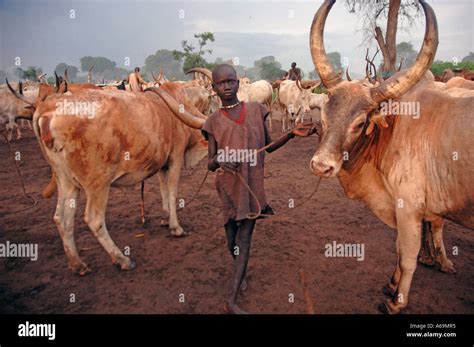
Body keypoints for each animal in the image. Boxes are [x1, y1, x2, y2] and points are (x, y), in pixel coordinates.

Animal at [308, 0, 470, 316]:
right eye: (323, 112)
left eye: (360, 123)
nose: (321, 165)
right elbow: (398, 248)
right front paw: (392, 285)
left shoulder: (409, 208)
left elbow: (407, 255)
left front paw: (397, 301)